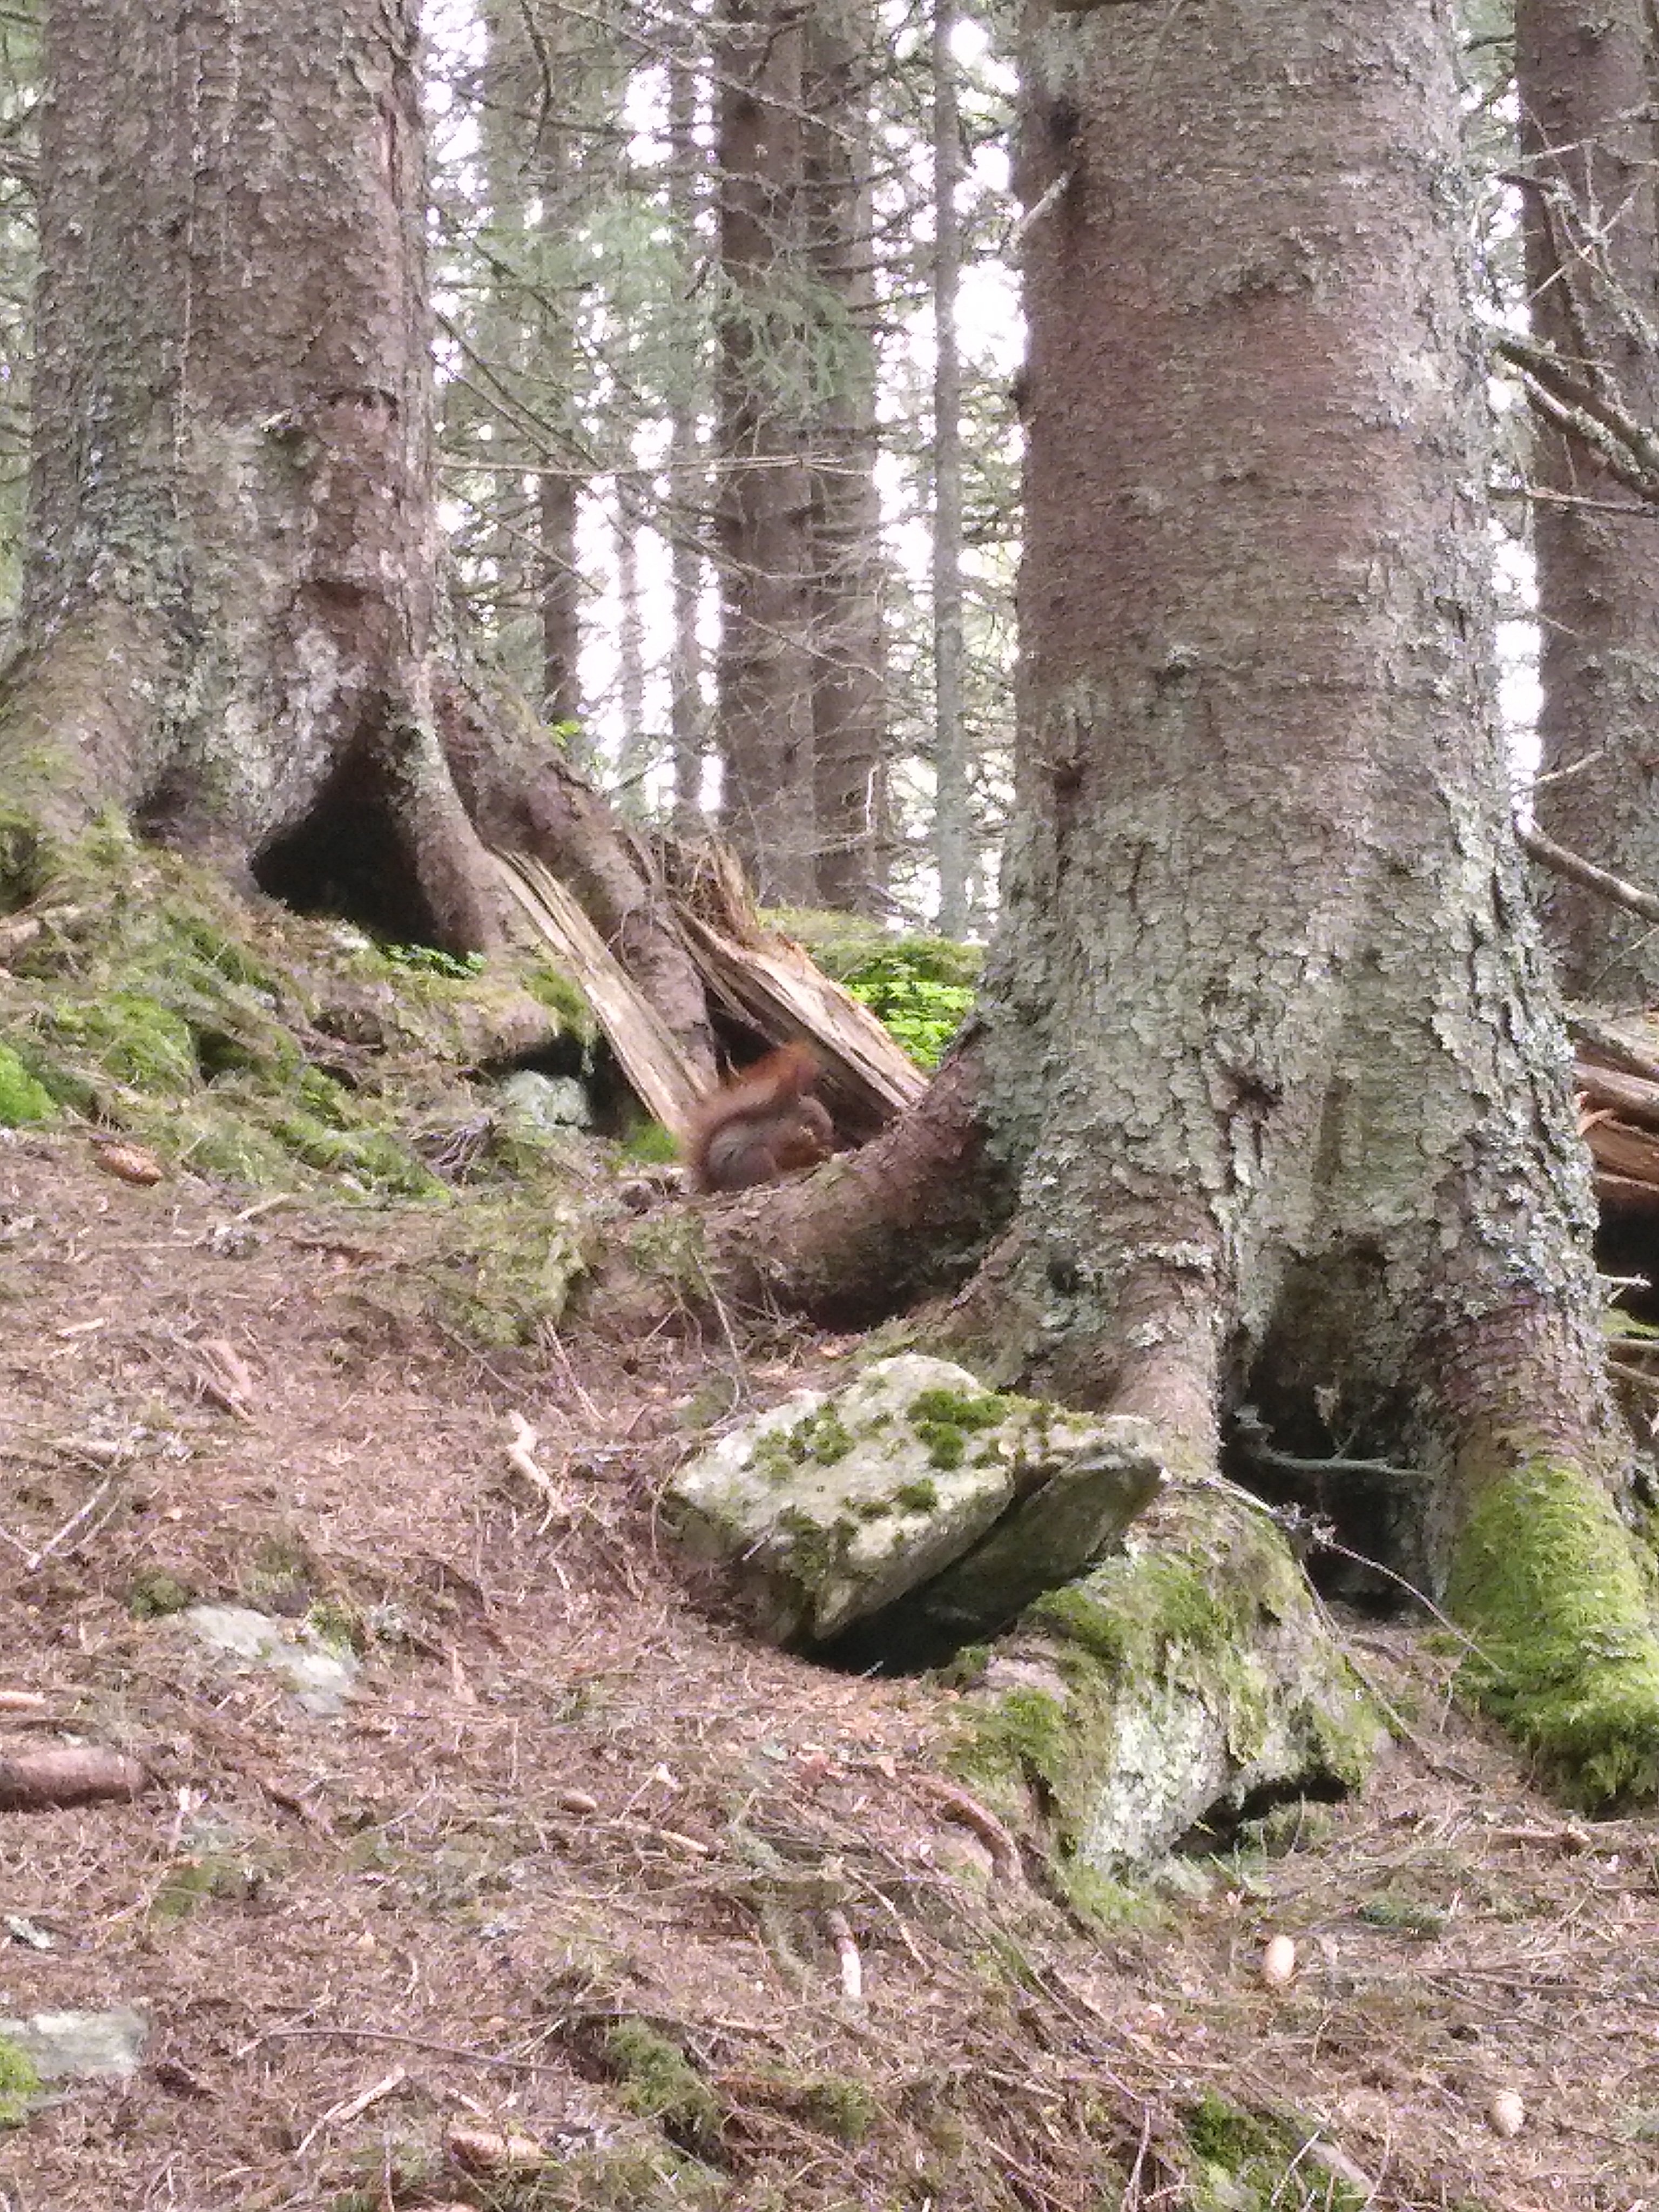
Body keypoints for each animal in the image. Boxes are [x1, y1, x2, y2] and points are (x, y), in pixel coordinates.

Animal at [684, 1043, 834, 1194]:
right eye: (810, 1113)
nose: (829, 1132)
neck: (786, 1120)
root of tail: (719, 1186)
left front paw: (822, 1149)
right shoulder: (778, 1135)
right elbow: (788, 1146)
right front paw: (807, 1138)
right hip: (757, 1158)